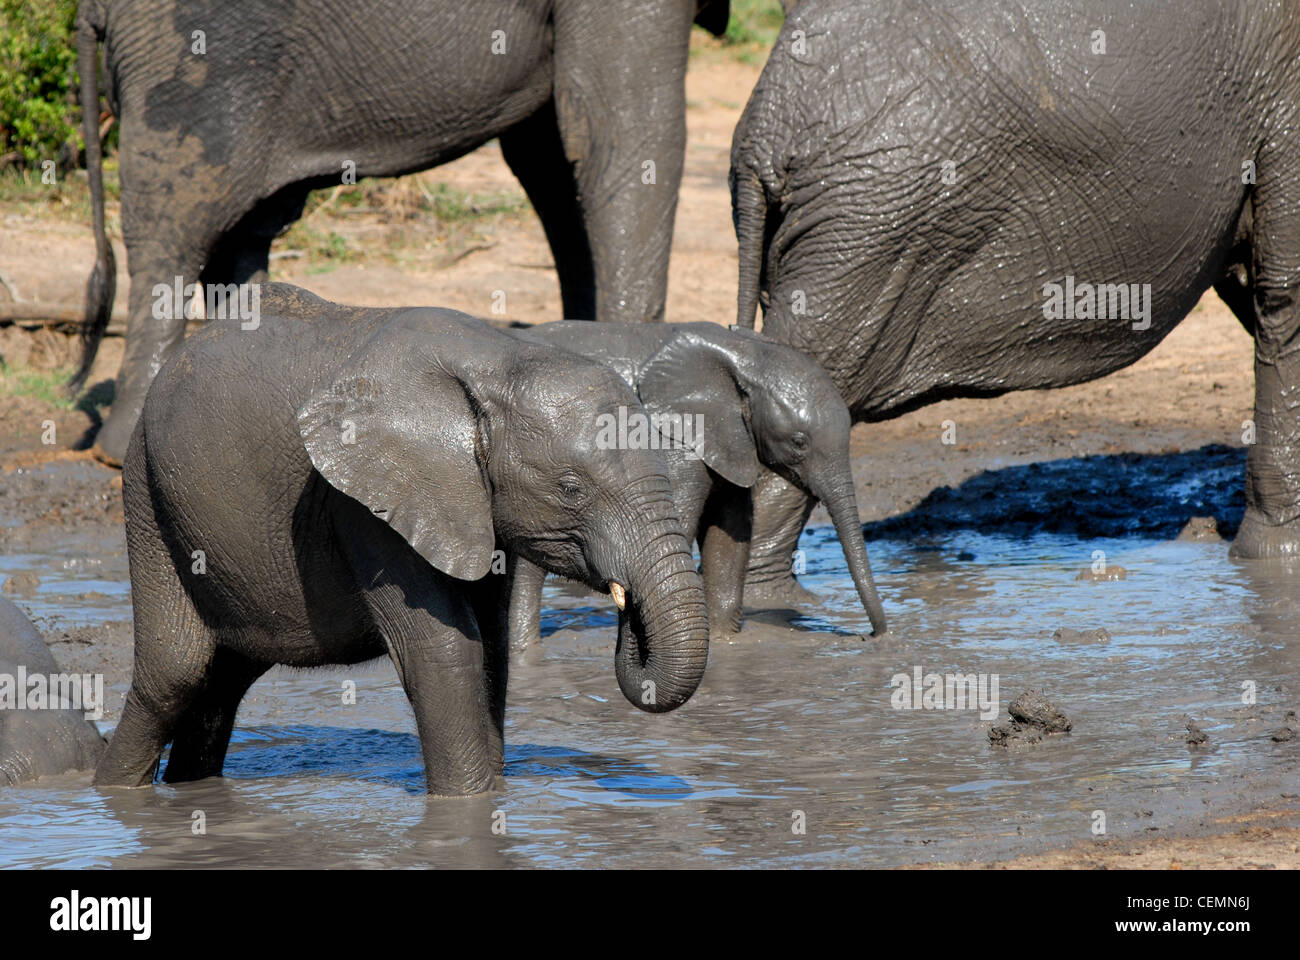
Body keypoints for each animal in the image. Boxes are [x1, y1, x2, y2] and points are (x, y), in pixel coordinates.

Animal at [72, 0, 731, 466]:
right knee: (178, 216)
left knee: (244, 227)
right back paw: (119, 448)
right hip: (193, 57)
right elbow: (618, 128)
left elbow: (546, 155)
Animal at [93, 283, 709, 796]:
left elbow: (491, 648)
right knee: (175, 674)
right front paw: (468, 807)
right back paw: (112, 793)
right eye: (571, 488)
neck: (502, 360)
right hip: (147, 494)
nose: (628, 613)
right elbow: (445, 650)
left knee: (222, 681)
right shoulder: (364, 502)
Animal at [507, 320, 888, 644]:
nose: (872, 637)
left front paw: (724, 644)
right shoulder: (675, 441)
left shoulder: (732, 441)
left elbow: (731, 535)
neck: (744, 352)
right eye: (799, 442)